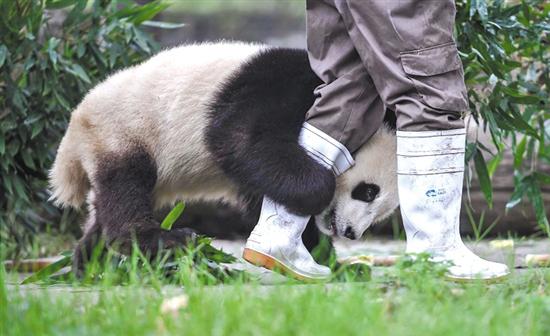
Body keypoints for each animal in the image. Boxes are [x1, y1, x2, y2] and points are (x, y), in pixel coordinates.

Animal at [49, 42, 398, 270]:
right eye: (368, 191)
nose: (351, 233)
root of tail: (75, 126)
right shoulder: (283, 88)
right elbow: (239, 137)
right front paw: (320, 190)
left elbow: (264, 189)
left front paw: (337, 264)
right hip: (125, 130)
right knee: (126, 185)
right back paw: (163, 241)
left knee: (105, 209)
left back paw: (92, 263)